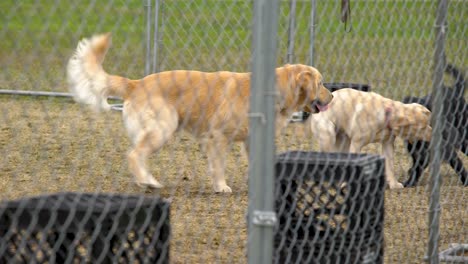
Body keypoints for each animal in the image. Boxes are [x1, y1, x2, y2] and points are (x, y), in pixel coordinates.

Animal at [67, 33, 334, 193]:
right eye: (321, 83)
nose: (332, 97)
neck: (275, 90)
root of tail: (136, 83)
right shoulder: (218, 137)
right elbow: (219, 166)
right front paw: (221, 186)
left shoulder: (250, 140)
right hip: (163, 127)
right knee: (134, 154)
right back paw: (148, 181)